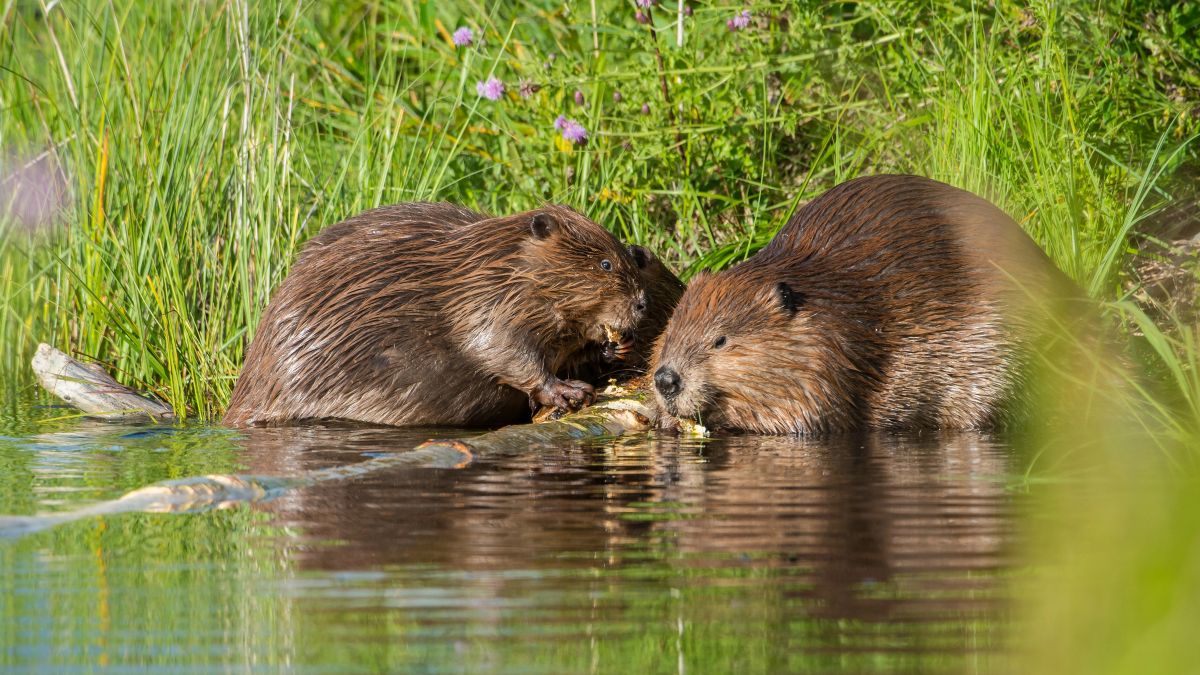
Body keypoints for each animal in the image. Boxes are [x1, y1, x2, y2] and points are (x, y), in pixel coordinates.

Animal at [225, 200, 657, 425]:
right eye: (605, 264)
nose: (642, 303)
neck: (497, 262)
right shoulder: (486, 301)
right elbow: (500, 349)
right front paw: (568, 391)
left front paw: (614, 349)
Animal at [652, 172, 1084, 432]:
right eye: (670, 331)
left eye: (720, 340)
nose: (666, 379)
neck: (833, 303)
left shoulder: (824, 362)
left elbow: (806, 416)